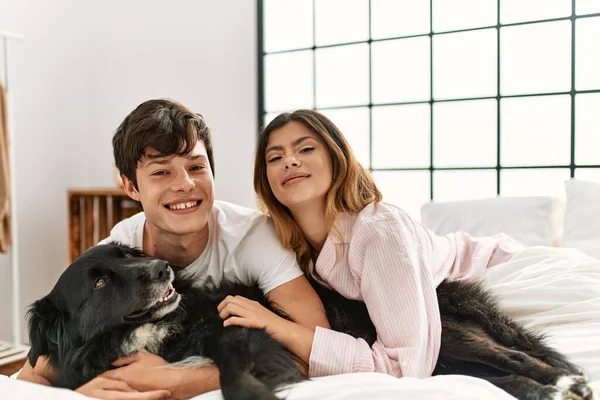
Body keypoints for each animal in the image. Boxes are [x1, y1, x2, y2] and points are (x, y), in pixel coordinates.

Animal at [312, 278, 592, 400]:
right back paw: (549, 391)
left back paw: (567, 382)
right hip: (443, 364)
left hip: (448, 340)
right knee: (501, 378)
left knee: (514, 357)